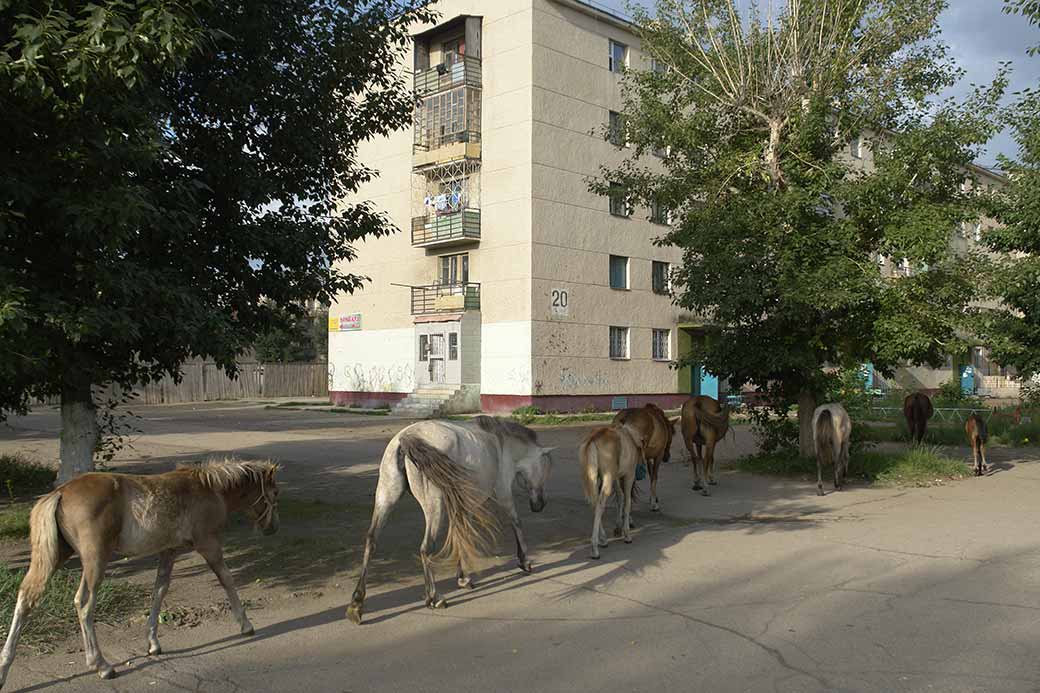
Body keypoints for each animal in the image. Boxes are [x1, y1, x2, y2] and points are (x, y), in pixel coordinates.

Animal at [0, 453, 280, 686]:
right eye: (274, 494)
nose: (272, 528)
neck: (210, 489)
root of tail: (59, 492)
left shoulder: (168, 551)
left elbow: (159, 591)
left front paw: (153, 643)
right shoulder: (208, 544)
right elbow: (226, 579)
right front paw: (246, 625)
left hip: (54, 555)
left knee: (26, 597)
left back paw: (4, 667)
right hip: (95, 559)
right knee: (84, 602)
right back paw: (102, 666)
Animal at [347, 416, 557, 624]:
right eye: (546, 469)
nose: (540, 504)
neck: (500, 443)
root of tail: (406, 438)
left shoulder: (462, 504)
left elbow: (461, 535)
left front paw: (463, 578)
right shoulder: (503, 492)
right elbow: (515, 521)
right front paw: (524, 561)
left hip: (386, 497)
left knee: (371, 541)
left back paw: (356, 604)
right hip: (433, 506)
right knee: (426, 548)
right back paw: (435, 598)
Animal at [578, 420, 640, 557]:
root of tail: (593, 439)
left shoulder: (615, 478)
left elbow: (620, 497)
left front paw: (618, 528)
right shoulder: (629, 475)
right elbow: (627, 501)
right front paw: (627, 534)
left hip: (595, 477)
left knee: (595, 503)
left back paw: (603, 540)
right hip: (608, 478)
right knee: (600, 503)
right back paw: (595, 548)